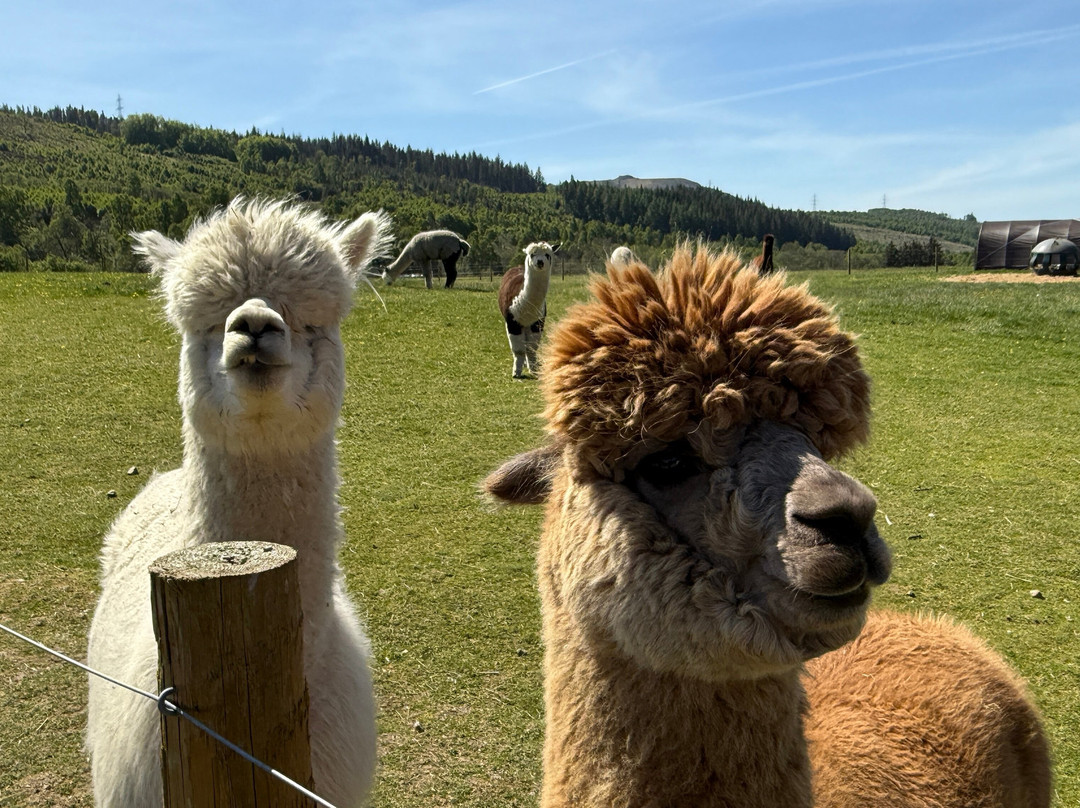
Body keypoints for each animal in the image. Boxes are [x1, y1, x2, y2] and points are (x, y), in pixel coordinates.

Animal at [497, 241, 558, 379]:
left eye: (547, 254)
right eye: (532, 254)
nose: (540, 262)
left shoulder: (537, 322)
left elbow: (531, 348)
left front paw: (534, 369)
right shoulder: (512, 321)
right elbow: (518, 349)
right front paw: (516, 372)